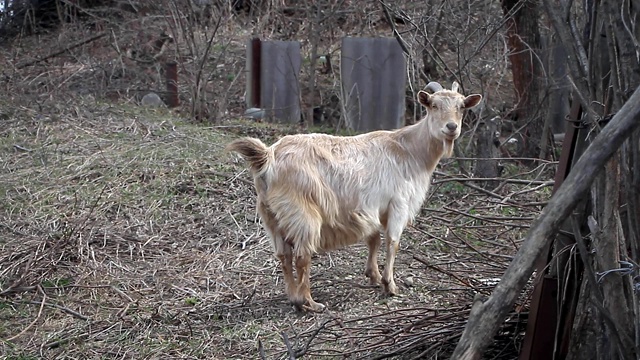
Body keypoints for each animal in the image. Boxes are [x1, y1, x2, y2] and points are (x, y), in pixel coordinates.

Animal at [225, 81, 480, 312]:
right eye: (434, 106)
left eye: (461, 107)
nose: (451, 127)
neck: (409, 150)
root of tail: (269, 157)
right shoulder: (398, 203)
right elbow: (393, 242)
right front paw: (390, 285)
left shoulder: (374, 207)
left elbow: (373, 239)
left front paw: (373, 276)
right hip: (303, 214)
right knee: (301, 256)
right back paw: (309, 302)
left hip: (270, 217)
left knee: (283, 256)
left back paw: (293, 298)